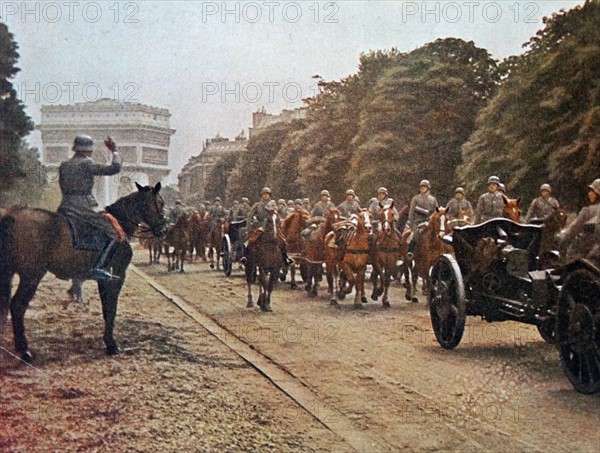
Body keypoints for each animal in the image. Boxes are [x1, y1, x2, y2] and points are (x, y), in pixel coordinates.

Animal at [0, 182, 166, 362]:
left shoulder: (104, 280)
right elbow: (111, 309)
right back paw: (24, 350)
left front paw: (107, 341)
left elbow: (106, 309)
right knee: (18, 306)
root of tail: (13, 214)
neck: (120, 224)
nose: (163, 230)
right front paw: (111, 345)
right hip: (31, 275)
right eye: (160, 203)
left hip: (10, 273)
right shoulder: (117, 277)